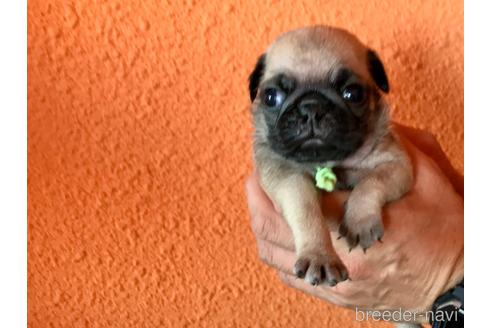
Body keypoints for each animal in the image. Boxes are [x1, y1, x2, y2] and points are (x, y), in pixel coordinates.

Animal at [248, 26, 414, 288]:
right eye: (271, 97)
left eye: (352, 94)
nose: (311, 107)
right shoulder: (286, 176)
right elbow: (305, 207)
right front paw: (319, 255)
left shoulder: (396, 164)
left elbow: (371, 183)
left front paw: (359, 220)